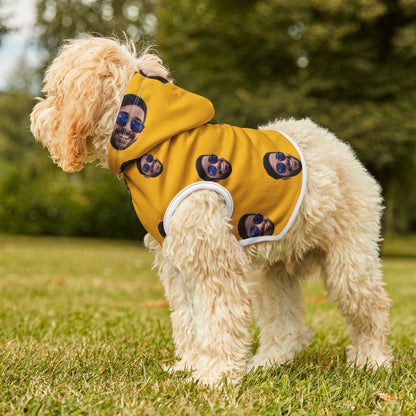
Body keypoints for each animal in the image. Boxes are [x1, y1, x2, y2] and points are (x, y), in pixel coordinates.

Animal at [30, 36, 394, 386]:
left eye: (54, 92)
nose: (35, 118)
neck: (155, 142)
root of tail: (341, 149)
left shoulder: (214, 260)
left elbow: (218, 319)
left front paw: (215, 375)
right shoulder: (178, 263)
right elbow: (189, 320)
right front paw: (191, 366)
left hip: (349, 264)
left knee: (372, 309)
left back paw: (372, 360)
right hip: (273, 273)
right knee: (287, 327)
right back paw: (267, 363)